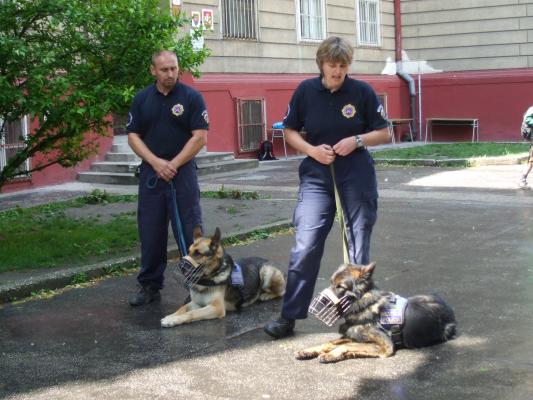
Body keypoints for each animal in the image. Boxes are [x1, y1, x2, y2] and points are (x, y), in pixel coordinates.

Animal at [296, 262, 457, 363]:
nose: (321, 301)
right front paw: (308, 350)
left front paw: (331, 354)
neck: (363, 305)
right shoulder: (353, 337)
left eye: (340, 287)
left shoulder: (385, 345)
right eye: (331, 283)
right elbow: (330, 342)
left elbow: (346, 345)